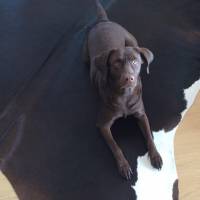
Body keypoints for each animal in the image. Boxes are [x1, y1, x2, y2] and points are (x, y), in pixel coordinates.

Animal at [83, 0, 162, 180]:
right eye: (116, 64)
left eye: (135, 61)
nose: (129, 78)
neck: (124, 95)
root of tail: (103, 21)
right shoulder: (103, 125)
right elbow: (115, 146)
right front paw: (124, 165)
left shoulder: (141, 114)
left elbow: (149, 136)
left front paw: (155, 155)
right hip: (85, 55)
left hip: (132, 40)